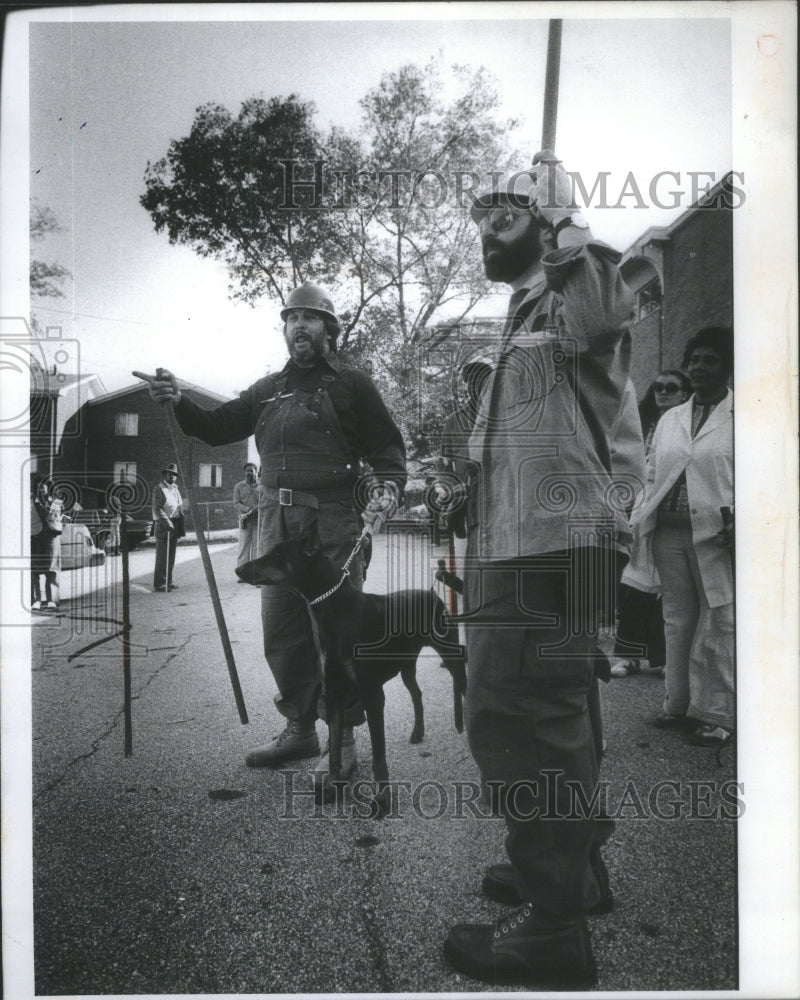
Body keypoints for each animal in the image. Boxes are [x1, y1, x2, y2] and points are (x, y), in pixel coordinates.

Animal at [234, 524, 466, 812]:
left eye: (278, 554)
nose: (239, 570)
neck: (334, 611)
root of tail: (431, 593)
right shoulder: (335, 691)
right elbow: (334, 751)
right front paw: (331, 788)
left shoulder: (372, 693)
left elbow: (378, 754)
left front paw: (383, 800)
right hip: (406, 663)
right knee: (416, 692)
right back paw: (417, 732)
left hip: (447, 648)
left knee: (463, 678)